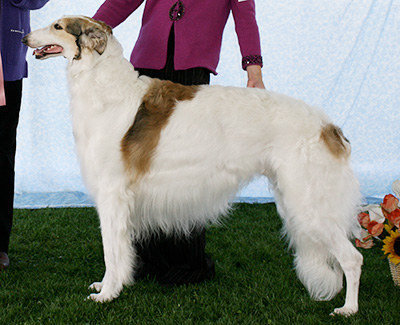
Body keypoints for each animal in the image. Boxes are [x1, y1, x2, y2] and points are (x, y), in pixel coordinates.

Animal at [23, 16, 364, 316]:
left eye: (57, 26)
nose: (25, 38)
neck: (108, 90)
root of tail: (329, 127)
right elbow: (118, 254)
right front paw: (107, 286)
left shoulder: (111, 195)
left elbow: (111, 251)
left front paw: (108, 294)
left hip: (308, 205)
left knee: (353, 258)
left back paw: (348, 308)